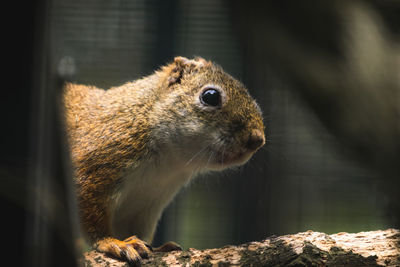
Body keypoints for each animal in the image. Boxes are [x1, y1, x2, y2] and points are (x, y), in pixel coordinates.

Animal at [62, 56, 264, 266]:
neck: (168, 163)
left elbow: (135, 229)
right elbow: (92, 218)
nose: (257, 139)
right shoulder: (94, 165)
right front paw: (114, 242)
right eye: (210, 96)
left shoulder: (146, 201)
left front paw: (157, 247)